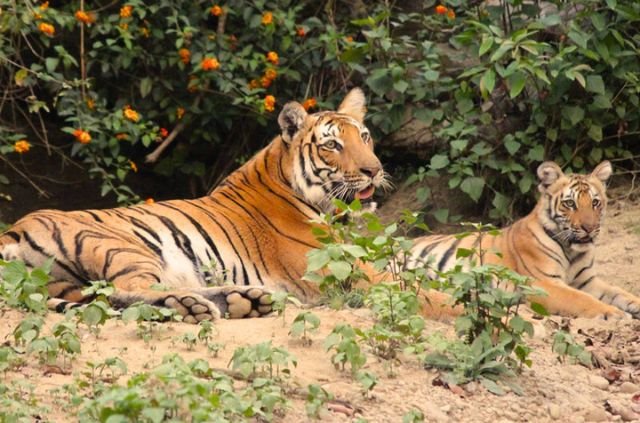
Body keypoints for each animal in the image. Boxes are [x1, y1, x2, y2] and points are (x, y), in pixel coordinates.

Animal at [0, 88, 454, 323]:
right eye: (332, 145)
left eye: (364, 137)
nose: (374, 170)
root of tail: (12, 230)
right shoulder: (343, 273)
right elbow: (418, 292)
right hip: (121, 245)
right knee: (129, 291)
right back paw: (207, 305)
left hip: (66, 284)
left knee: (107, 298)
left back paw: (239, 301)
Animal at [409, 160, 640, 319]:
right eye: (570, 204)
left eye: (595, 203)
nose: (589, 228)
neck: (572, 251)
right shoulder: (542, 283)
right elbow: (580, 298)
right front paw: (614, 313)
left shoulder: (587, 281)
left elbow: (620, 292)